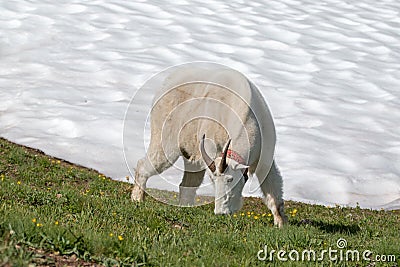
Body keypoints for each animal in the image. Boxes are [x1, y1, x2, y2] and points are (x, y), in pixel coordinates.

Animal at [131, 66, 288, 227]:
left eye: (230, 179)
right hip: (166, 137)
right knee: (148, 164)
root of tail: (166, 82)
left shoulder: (264, 157)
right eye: (212, 179)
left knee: (188, 182)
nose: (221, 212)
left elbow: (273, 188)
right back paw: (137, 199)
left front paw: (280, 223)